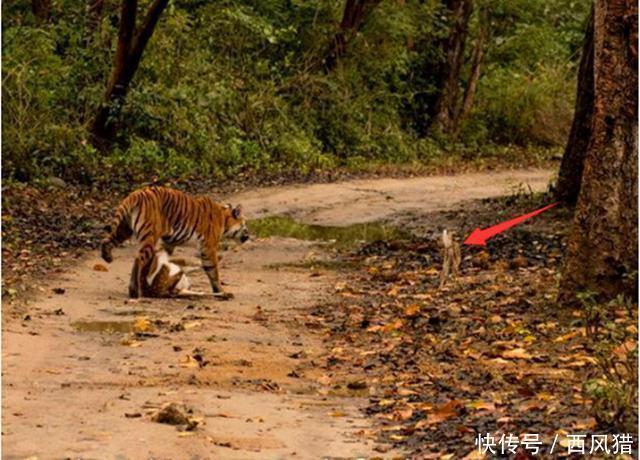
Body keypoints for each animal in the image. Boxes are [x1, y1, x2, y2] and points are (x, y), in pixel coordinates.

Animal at [100, 186, 249, 298]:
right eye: (244, 224)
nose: (248, 236)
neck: (224, 219)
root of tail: (136, 194)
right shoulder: (208, 247)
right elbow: (213, 270)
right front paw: (220, 290)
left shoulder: (169, 243)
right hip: (149, 236)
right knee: (139, 259)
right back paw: (137, 292)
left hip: (123, 230)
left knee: (107, 241)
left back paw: (108, 258)